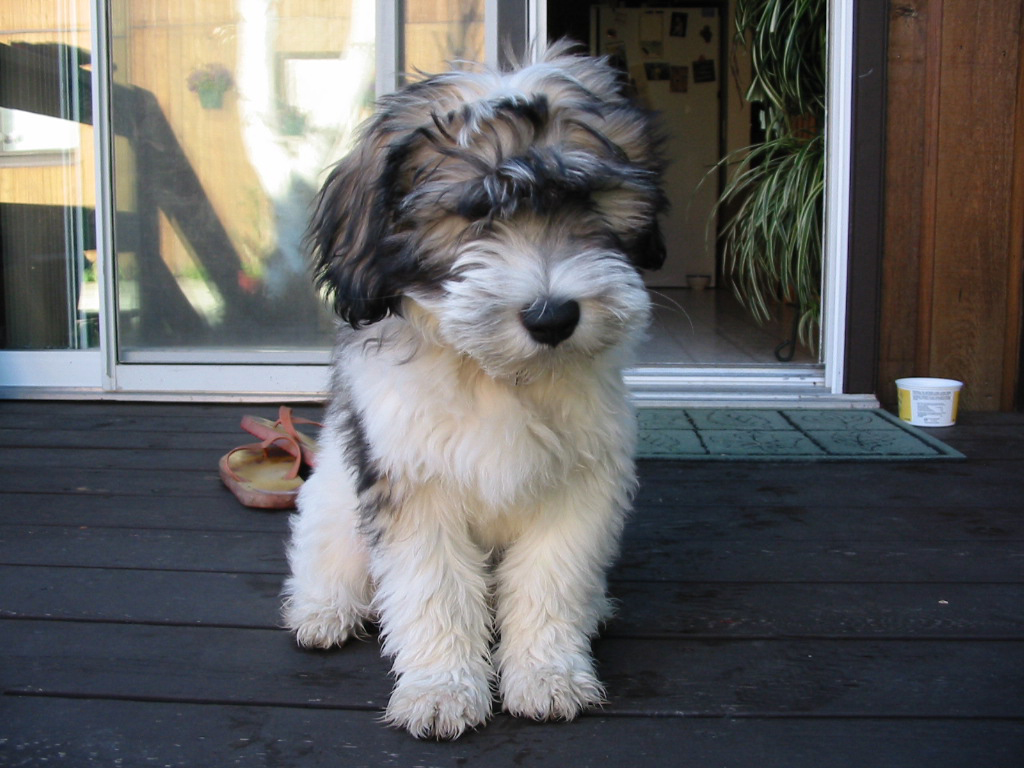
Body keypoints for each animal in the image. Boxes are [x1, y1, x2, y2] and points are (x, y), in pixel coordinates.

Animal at [282, 41, 663, 741]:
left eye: (587, 201)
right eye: (475, 213)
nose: (552, 317)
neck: (494, 374)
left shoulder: (581, 483)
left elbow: (551, 579)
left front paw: (547, 673)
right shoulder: (412, 485)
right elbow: (433, 590)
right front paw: (441, 689)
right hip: (333, 500)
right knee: (327, 555)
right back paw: (323, 611)